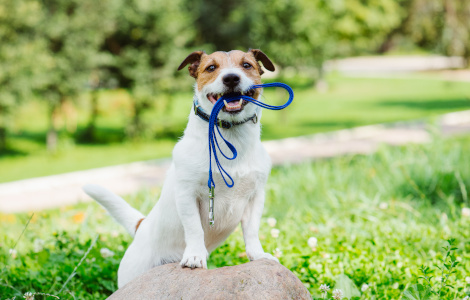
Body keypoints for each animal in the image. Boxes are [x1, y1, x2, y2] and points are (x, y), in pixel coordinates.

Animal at [83, 49, 280, 288]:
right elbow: (194, 228)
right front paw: (195, 256)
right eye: (211, 67)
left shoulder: (255, 197)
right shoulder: (187, 194)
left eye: (246, 65)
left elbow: (251, 230)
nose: (231, 78)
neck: (230, 138)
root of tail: (142, 226)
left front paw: (258, 255)